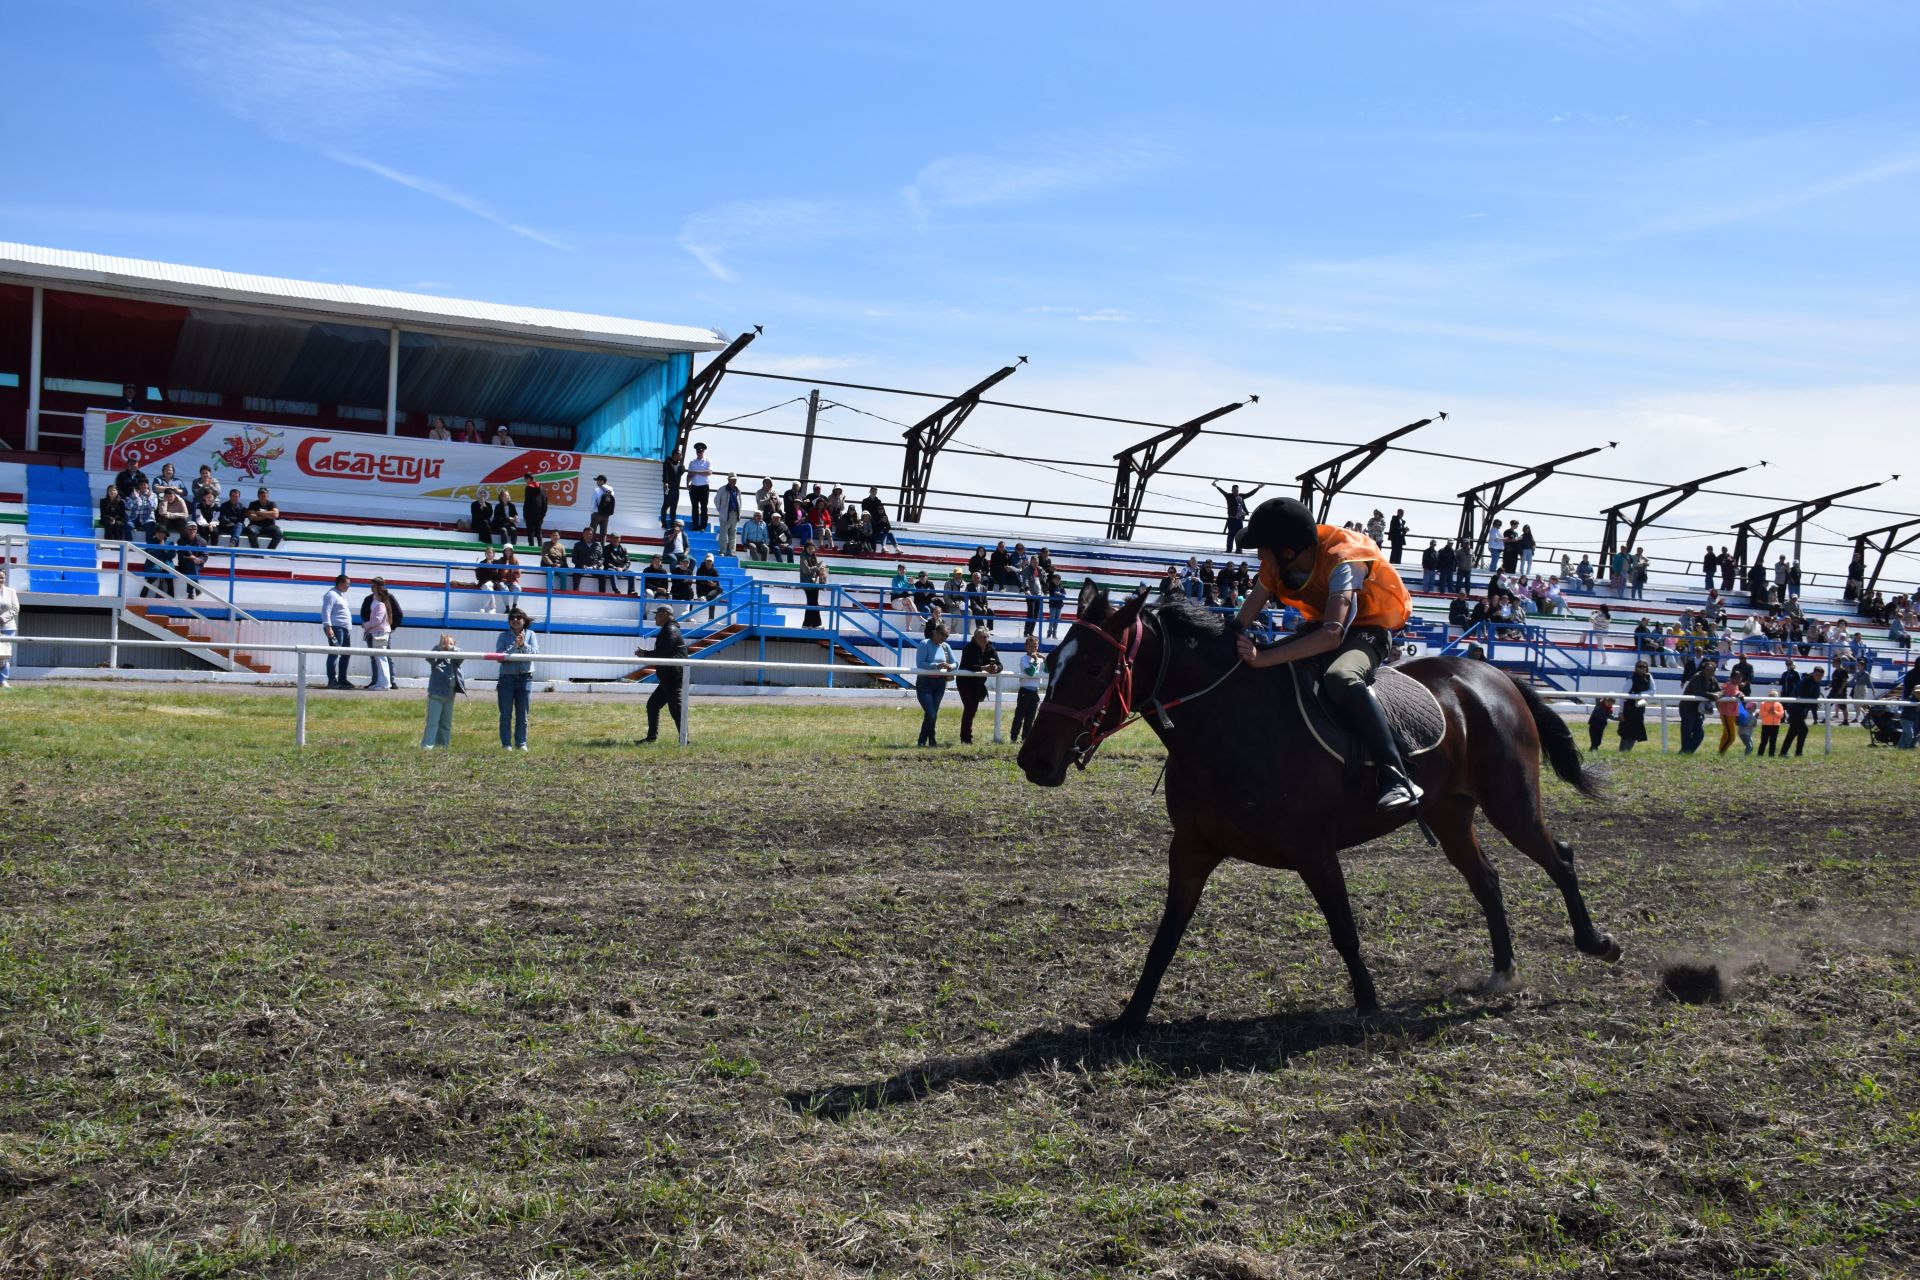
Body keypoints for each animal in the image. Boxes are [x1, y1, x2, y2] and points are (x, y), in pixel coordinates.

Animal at [1021, 587, 1620, 1036]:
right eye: (1051, 662)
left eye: (1095, 666)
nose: (1035, 760)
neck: (1230, 725)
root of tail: (1492, 676)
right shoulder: (1190, 850)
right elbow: (1165, 936)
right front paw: (1131, 1016)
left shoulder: (1314, 851)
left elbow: (1343, 931)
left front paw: (1369, 1006)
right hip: (1451, 815)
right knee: (1488, 880)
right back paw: (1502, 971)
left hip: (1511, 804)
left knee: (1560, 858)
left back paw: (1596, 943)